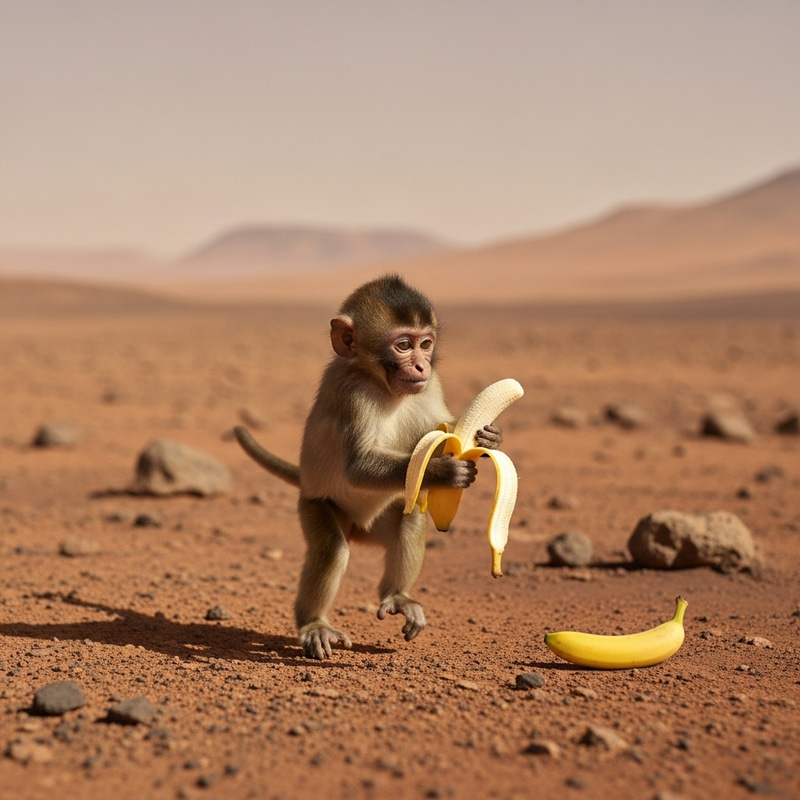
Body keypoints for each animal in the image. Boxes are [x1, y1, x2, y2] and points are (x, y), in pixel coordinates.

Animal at [234, 274, 502, 659]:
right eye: (403, 345)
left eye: (425, 344)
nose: (421, 365)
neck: (381, 384)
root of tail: (359, 529)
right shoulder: (351, 392)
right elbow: (357, 467)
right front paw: (443, 472)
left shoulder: (430, 385)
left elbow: (443, 426)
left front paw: (488, 438)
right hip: (315, 505)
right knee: (332, 548)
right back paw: (314, 624)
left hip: (381, 521)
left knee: (410, 517)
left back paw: (398, 596)